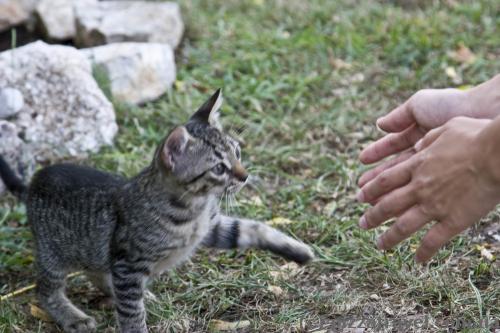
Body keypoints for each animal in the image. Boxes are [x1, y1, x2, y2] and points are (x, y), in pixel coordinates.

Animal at [0, 89, 312, 330]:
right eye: (218, 168)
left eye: (237, 152)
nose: (245, 176)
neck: (194, 209)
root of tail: (34, 182)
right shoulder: (128, 264)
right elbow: (131, 315)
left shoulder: (210, 228)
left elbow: (252, 228)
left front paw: (297, 250)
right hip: (54, 255)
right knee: (45, 290)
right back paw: (72, 316)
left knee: (96, 272)